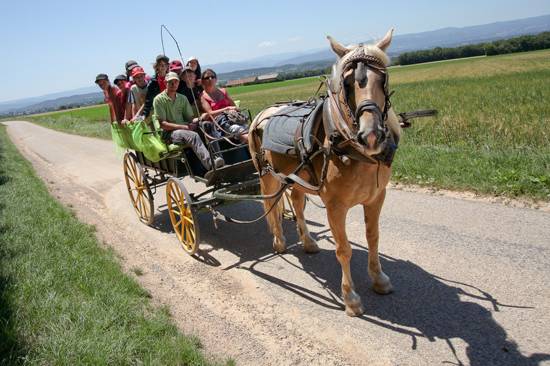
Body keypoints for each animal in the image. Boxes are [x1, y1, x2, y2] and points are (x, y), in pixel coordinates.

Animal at [249, 28, 402, 316]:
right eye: (348, 83)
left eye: (383, 78)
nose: (371, 135)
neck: (348, 147)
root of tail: (262, 114)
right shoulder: (335, 206)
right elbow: (344, 249)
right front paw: (350, 298)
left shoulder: (377, 198)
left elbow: (373, 237)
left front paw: (379, 279)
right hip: (267, 176)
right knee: (271, 206)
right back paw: (278, 241)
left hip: (295, 179)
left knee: (297, 204)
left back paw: (307, 242)